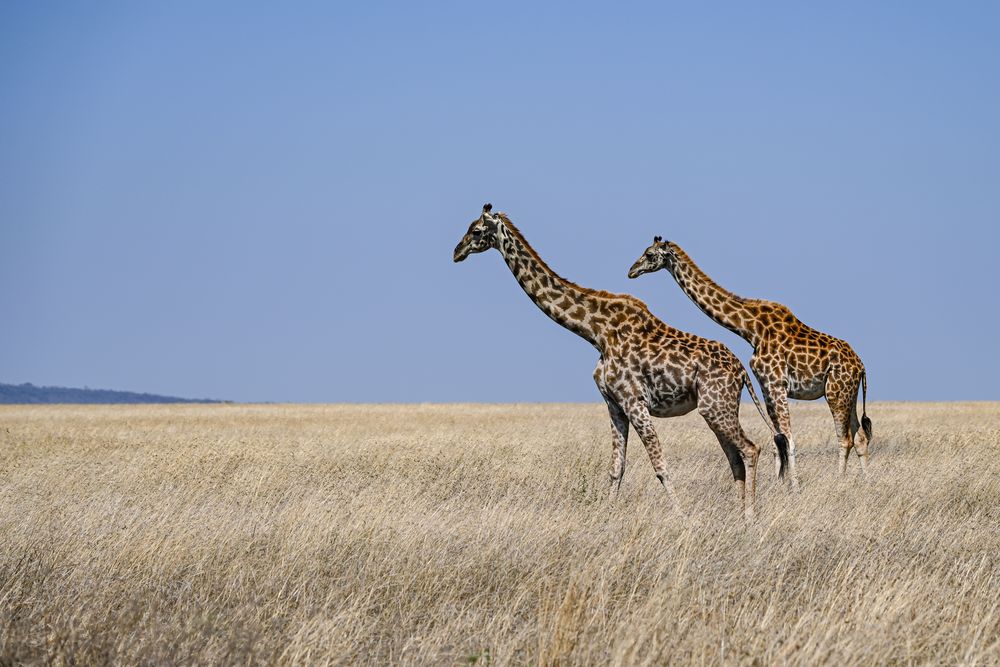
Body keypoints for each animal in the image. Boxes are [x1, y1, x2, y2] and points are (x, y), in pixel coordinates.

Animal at [450, 206, 784, 520]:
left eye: (477, 230)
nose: (456, 251)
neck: (596, 333)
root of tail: (741, 371)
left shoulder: (634, 401)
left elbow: (660, 465)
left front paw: (683, 517)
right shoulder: (613, 404)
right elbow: (616, 469)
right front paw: (605, 515)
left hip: (715, 406)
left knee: (750, 449)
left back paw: (750, 516)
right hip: (715, 408)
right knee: (735, 457)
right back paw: (739, 514)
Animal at [628, 236, 872, 486]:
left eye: (649, 254)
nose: (632, 271)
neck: (750, 330)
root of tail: (861, 366)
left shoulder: (776, 384)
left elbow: (789, 440)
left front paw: (794, 486)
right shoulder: (766, 387)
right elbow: (778, 440)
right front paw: (779, 485)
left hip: (835, 392)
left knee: (845, 439)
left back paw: (840, 480)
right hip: (849, 394)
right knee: (860, 437)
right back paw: (865, 481)